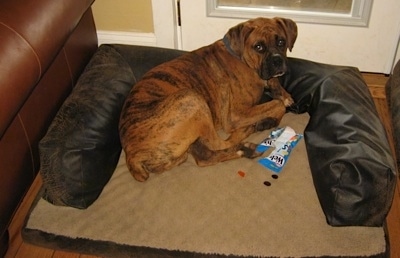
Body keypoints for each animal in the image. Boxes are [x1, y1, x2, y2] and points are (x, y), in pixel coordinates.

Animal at [119, 16, 296, 181]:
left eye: (281, 42)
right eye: (258, 47)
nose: (277, 60)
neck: (242, 58)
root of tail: (131, 155)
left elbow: (276, 89)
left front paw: (283, 94)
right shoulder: (237, 115)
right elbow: (277, 105)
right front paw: (271, 117)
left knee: (205, 157)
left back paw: (245, 149)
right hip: (192, 99)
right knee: (220, 143)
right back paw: (249, 134)